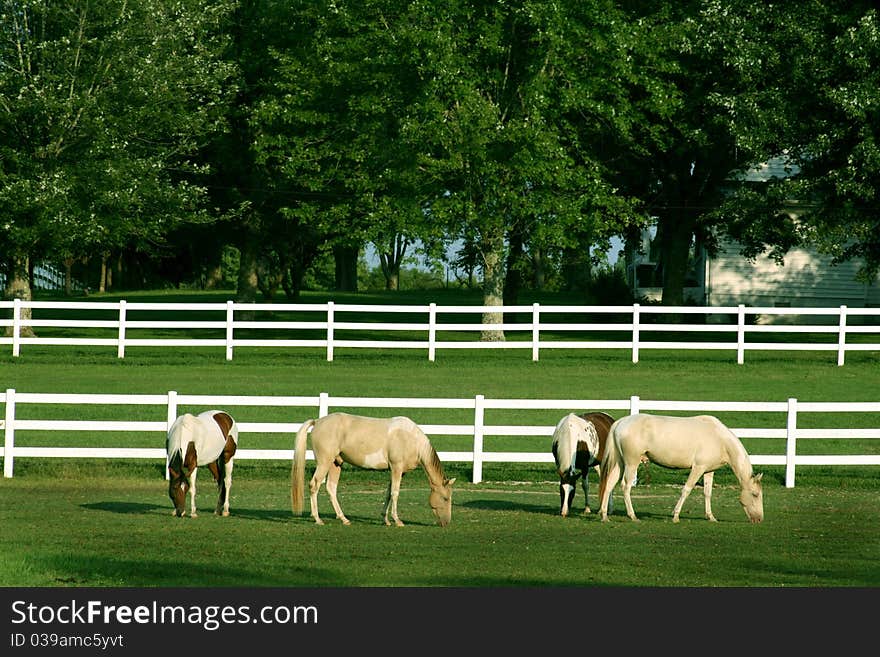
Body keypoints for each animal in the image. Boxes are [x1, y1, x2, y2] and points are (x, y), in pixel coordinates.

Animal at [292, 412, 458, 524]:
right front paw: (397, 520)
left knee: (331, 488)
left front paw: (386, 519)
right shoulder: (396, 468)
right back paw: (318, 519)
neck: (410, 439)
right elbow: (395, 493)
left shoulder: (398, 472)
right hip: (324, 463)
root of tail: (318, 422)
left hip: (335, 464)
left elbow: (388, 493)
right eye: (445, 498)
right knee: (314, 485)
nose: (446, 522)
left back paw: (343, 518)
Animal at [600, 416, 764, 524]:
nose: (759, 519)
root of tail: (620, 422)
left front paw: (710, 516)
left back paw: (604, 515)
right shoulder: (698, 468)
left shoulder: (708, 471)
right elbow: (686, 490)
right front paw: (676, 515)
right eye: (755, 494)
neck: (720, 439)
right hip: (631, 463)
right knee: (626, 486)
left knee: (609, 485)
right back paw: (632, 516)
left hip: (620, 464)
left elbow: (707, 493)